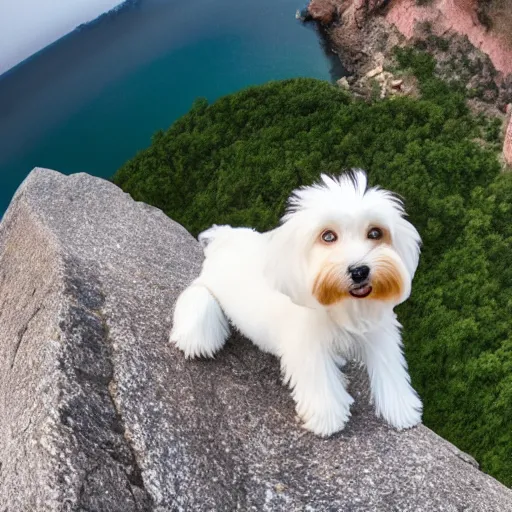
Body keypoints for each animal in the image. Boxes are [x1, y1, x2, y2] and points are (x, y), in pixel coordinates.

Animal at [170, 170, 422, 434]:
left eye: (375, 233)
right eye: (328, 236)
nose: (360, 271)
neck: (340, 304)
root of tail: (224, 236)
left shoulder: (379, 331)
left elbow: (390, 368)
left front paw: (401, 410)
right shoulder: (306, 344)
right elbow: (319, 380)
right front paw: (327, 419)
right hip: (207, 290)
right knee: (198, 303)